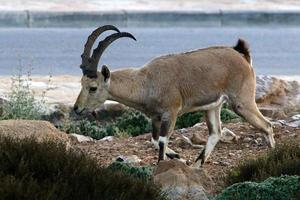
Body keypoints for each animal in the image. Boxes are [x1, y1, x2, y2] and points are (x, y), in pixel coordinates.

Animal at [74, 25, 276, 168]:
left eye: (93, 87)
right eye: (81, 83)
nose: (77, 108)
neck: (146, 81)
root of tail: (242, 55)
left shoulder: (171, 113)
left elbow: (162, 140)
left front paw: (161, 166)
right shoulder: (155, 117)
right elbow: (154, 140)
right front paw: (177, 157)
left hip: (242, 102)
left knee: (267, 125)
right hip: (213, 106)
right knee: (216, 132)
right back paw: (195, 166)